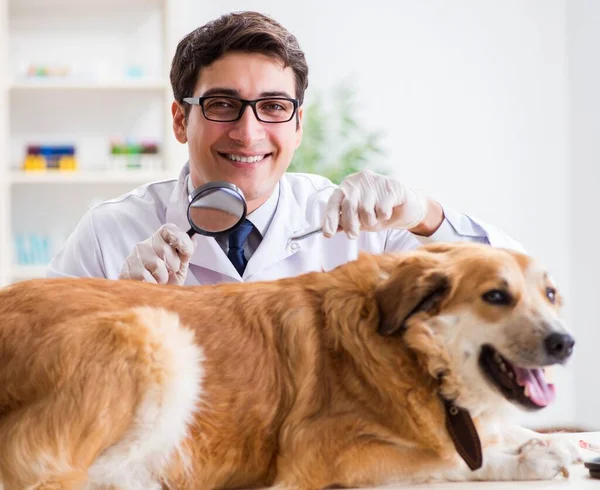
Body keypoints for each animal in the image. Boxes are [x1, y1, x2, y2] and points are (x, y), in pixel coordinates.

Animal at [0, 242, 580, 490]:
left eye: (551, 294)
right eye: (496, 296)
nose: (566, 343)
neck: (411, 354)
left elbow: (504, 431)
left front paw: (556, 445)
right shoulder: (322, 454)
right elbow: (451, 459)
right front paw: (529, 459)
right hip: (155, 331)